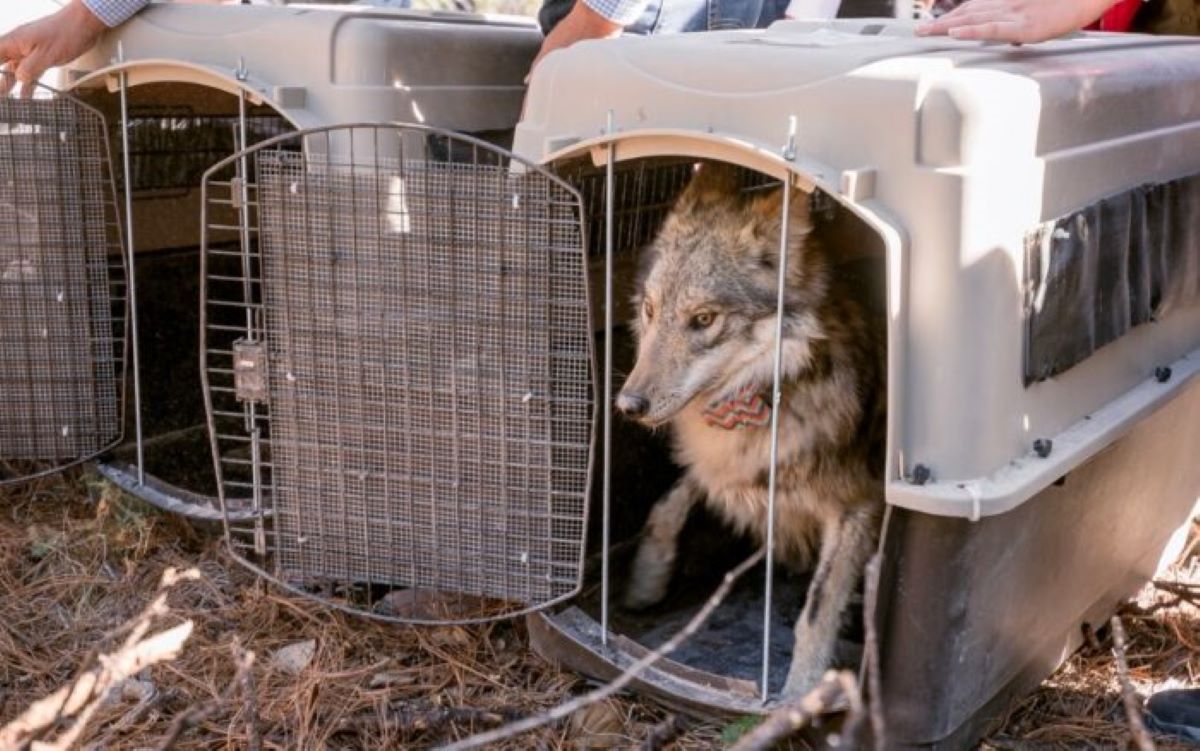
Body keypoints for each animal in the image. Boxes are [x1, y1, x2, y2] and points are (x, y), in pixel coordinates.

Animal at [614, 162, 886, 699]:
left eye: (703, 319)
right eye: (650, 310)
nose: (628, 406)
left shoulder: (856, 508)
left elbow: (816, 612)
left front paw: (798, 695)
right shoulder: (727, 467)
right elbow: (666, 506)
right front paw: (643, 583)